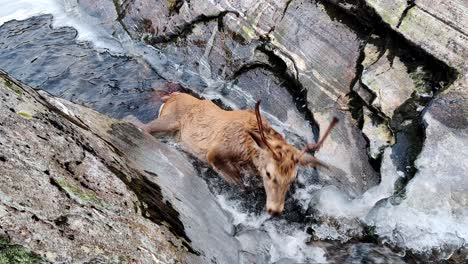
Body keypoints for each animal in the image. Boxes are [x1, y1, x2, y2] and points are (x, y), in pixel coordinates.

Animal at [137, 92, 338, 216]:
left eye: (292, 178)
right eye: (269, 173)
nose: (275, 209)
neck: (246, 151)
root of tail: (171, 96)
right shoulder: (215, 151)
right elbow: (238, 183)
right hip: (169, 121)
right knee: (140, 125)